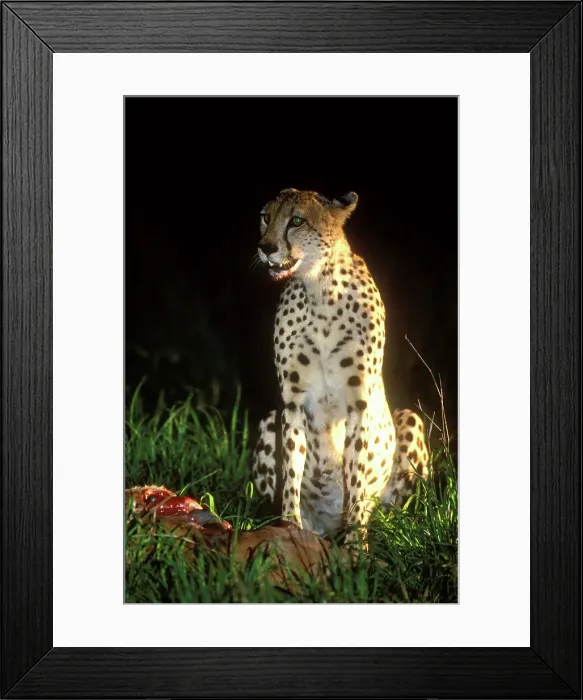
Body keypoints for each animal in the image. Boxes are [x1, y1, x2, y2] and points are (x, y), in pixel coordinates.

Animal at [251, 187, 429, 547]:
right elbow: (291, 467)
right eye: (265, 217)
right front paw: (290, 526)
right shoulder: (291, 402)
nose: (266, 247)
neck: (319, 289)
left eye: (296, 220)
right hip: (268, 420)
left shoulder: (359, 403)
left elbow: (357, 472)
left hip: (410, 422)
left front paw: (355, 541)